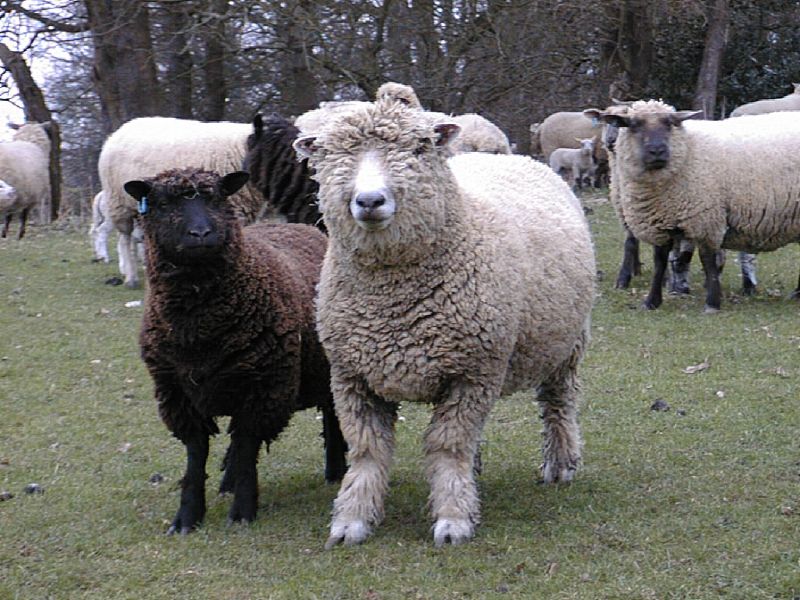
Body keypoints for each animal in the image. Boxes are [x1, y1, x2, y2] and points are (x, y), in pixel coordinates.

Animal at [124, 166, 346, 532]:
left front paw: (242, 510)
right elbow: (197, 456)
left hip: (324, 368)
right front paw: (187, 517)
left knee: (330, 415)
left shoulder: (261, 389)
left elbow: (246, 447)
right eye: (164, 203)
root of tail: (305, 228)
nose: (201, 233)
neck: (199, 331)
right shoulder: (179, 395)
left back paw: (336, 468)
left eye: (217, 198)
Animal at [294, 86, 592, 548]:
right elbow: (367, 451)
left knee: (558, 404)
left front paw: (453, 518)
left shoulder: (473, 373)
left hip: (566, 346)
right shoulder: (351, 377)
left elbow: (447, 447)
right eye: (329, 154)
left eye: (419, 147)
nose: (370, 200)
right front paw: (352, 520)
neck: (392, 302)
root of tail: (510, 157)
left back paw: (560, 466)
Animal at [600, 99, 800, 312]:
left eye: (669, 123)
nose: (657, 151)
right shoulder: (661, 221)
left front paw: (712, 303)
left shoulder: (706, 218)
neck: (688, 150)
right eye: (634, 125)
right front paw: (652, 301)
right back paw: (797, 293)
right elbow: (659, 262)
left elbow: (708, 260)